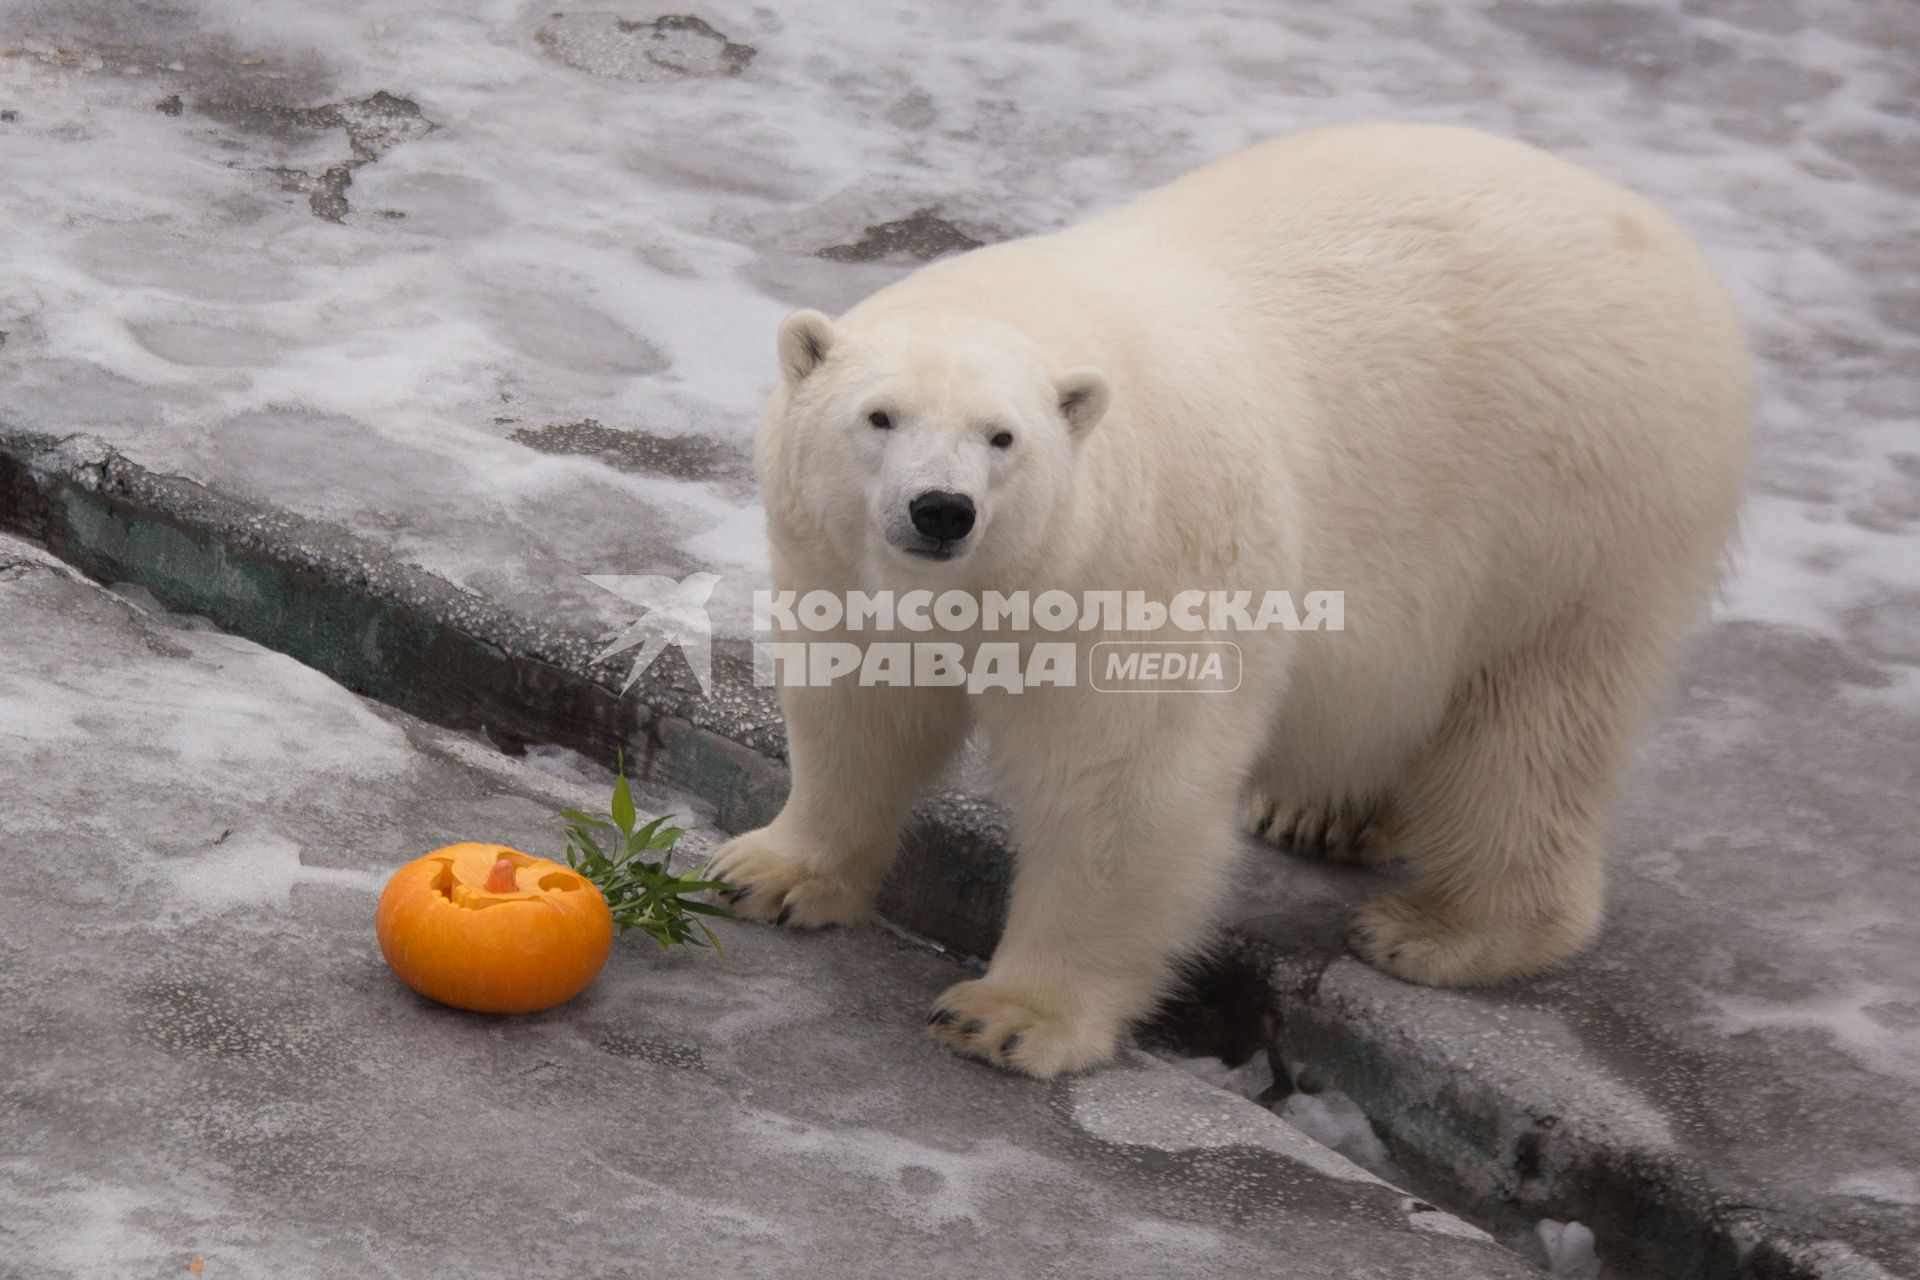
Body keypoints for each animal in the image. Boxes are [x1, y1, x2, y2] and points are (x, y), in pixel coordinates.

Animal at [714, 122, 1751, 1082]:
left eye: (1003, 437)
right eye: (879, 416)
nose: (941, 509)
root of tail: (1666, 241)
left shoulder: (1143, 564)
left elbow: (1120, 784)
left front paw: (1009, 1018)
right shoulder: (840, 568)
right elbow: (858, 711)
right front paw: (769, 872)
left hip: (1570, 509)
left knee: (1529, 724)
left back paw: (1441, 930)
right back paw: (1322, 814)